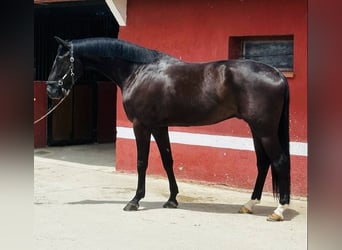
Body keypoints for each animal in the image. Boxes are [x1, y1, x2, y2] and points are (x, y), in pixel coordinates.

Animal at [46, 36, 290, 221]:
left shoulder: (141, 125)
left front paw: (134, 201)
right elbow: (167, 160)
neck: (138, 71)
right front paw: (172, 199)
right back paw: (249, 204)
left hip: (265, 131)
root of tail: (277, 73)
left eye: (61, 60)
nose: (51, 90)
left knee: (279, 161)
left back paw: (279, 210)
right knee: (263, 163)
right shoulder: (159, 126)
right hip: (257, 130)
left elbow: (142, 162)